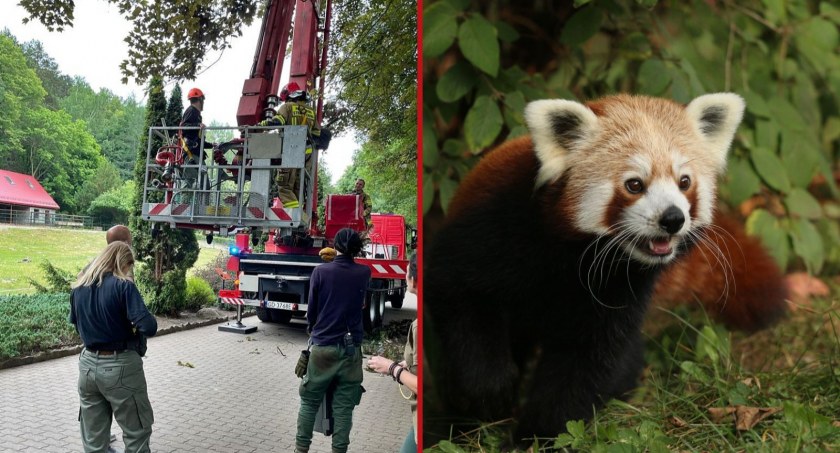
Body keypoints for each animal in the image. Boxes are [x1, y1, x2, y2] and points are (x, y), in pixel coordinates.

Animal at [426, 92, 788, 444]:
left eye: (684, 182)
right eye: (634, 184)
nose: (673, 218)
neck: (573, 257)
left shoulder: (616, 291)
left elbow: (586, 363)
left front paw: (537, 437)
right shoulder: (493, 230)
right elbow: (458, 297)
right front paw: (489, 393)